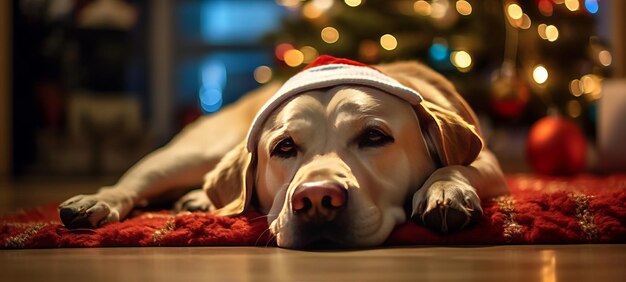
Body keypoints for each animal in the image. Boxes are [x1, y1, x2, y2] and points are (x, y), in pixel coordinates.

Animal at [58, 56, 508, 248]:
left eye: (375, 137)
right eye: (284, 146)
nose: (318, 199)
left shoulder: (488, 160)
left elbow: (456, 167)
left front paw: (445, 189)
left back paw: (199, 199)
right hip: (188, 155)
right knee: (129, 185)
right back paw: (95, 204)